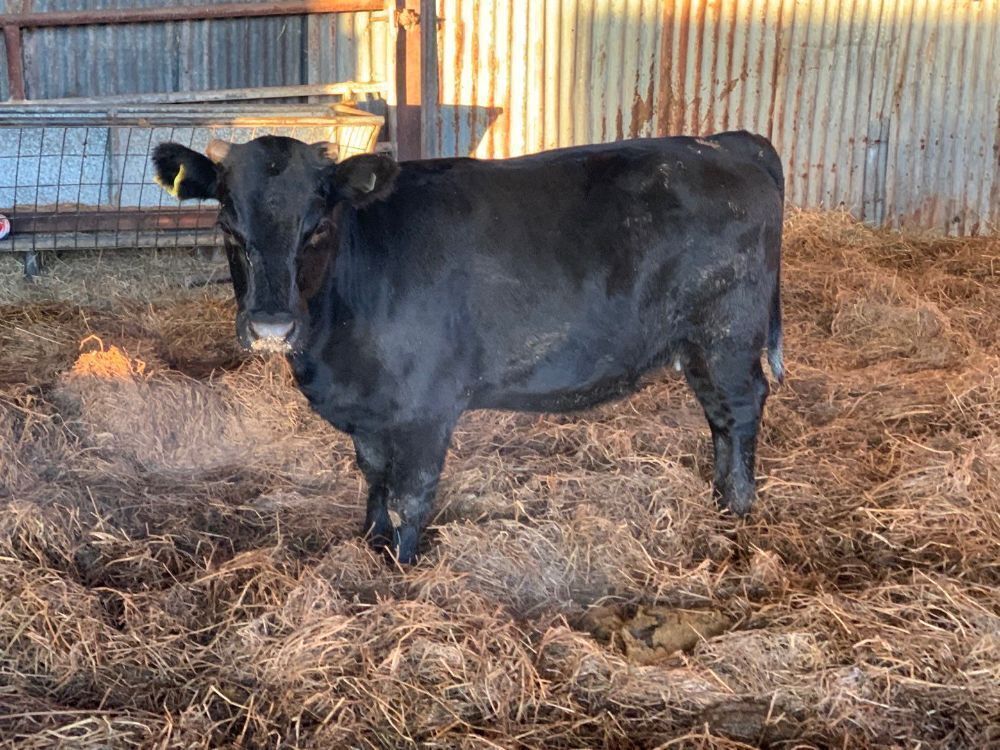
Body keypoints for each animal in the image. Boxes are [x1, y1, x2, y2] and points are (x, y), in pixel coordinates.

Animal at [152, 131, 784, 564]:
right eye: (229, 226)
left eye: (319, 226)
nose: (271, 327)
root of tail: (729, 142)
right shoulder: (373, 414)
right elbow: (374, 478)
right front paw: (371, 542)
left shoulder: (427, 410)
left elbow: (410, 494)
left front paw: (402, 566)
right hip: (699, 346)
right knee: (720, 419)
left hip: (727, 339)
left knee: (739, 411)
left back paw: (736, 506)